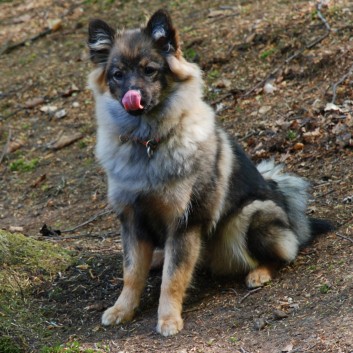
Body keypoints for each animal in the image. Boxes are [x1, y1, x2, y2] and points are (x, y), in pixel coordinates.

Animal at [86, 8, 332, 336]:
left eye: (150, 70)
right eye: (118, 75)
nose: (132, 95)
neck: (149, 143)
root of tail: (286, 206)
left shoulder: (185, 223)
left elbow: (172, 278)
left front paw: (168, 319)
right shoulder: (132, 221)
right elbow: (131, 273)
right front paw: (122, 309)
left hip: (249, 215)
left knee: (285, 253)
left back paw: (259, 274)